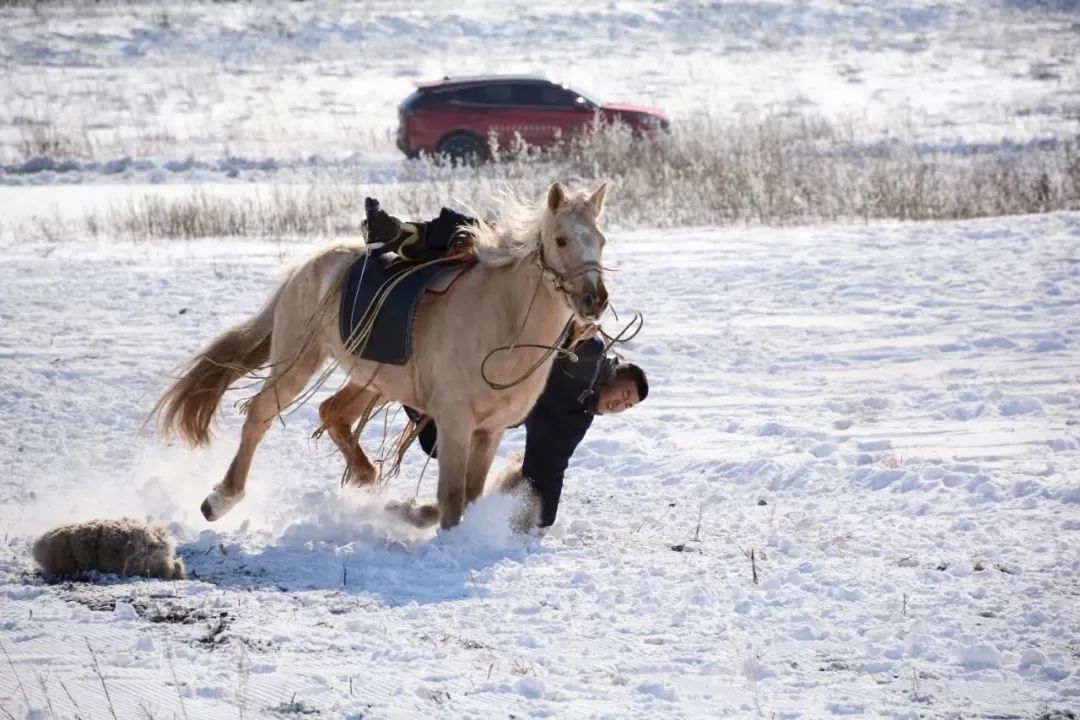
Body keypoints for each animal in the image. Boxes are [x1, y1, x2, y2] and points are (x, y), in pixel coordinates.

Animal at [152, 181, 609, 528]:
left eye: (601, 241)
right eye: (561, 240)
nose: (595, 299)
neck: (504, 321)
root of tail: (307, 267)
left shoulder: (489, 431)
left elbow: (470, 494)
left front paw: (410, 511)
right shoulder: (455, 423)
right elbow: (452, 498)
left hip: (374, 379)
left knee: (332, 412)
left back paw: (366, 475)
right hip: (298, 361)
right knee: (262, 414)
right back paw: (221, 500)